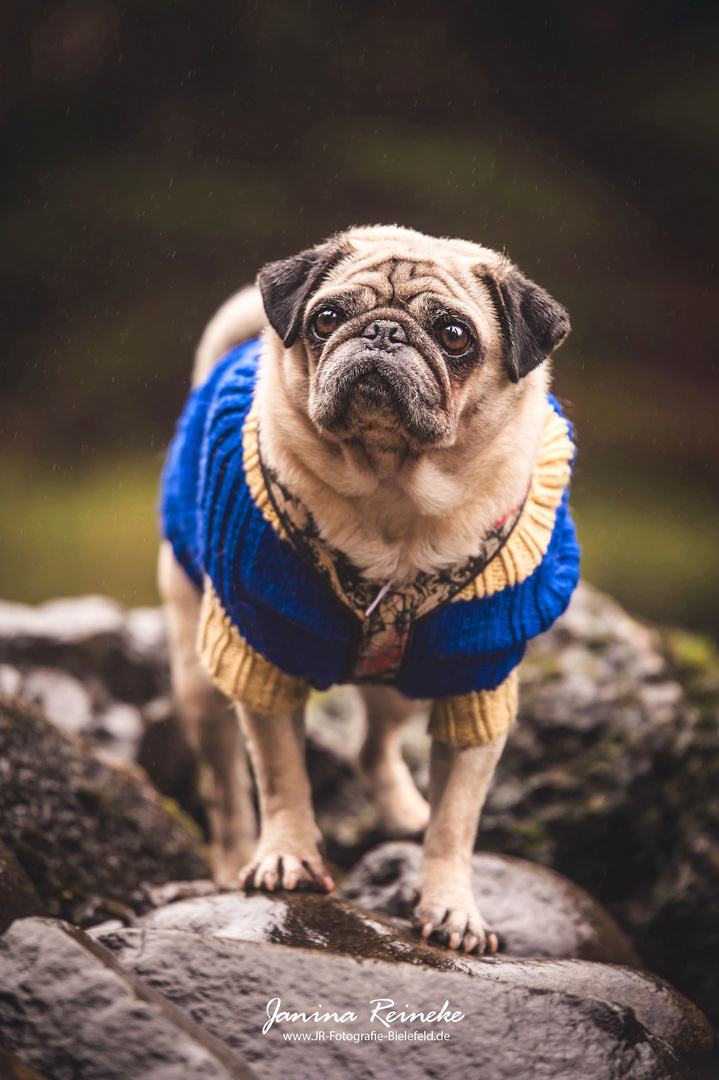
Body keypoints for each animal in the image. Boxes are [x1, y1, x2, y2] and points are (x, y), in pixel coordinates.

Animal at [156, 225, 578, 954]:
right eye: (325, 320)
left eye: (454, 336)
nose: (383, 332)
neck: (394, 501)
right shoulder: (262, 655)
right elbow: (281, 776)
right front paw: (288, 857)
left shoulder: (478, 684)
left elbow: (457, 820)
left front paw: (450, 904)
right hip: (198, 673)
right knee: (226, 787)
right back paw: (233, 860)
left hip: (405, 687)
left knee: (371, 747)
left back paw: (403, 809)